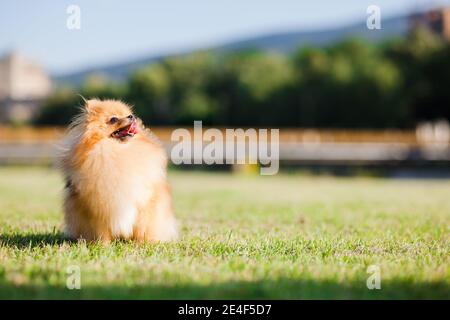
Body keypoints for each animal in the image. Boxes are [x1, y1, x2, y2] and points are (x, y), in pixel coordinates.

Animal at [59, 98, 178, 242]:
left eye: (128, 114)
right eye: (113, 119)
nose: (131, 116)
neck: (120, 152)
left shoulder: (145, 200)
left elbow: (142, 227)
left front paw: (142, 243)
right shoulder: (97, 205)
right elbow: (101, 230)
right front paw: (102, 244)